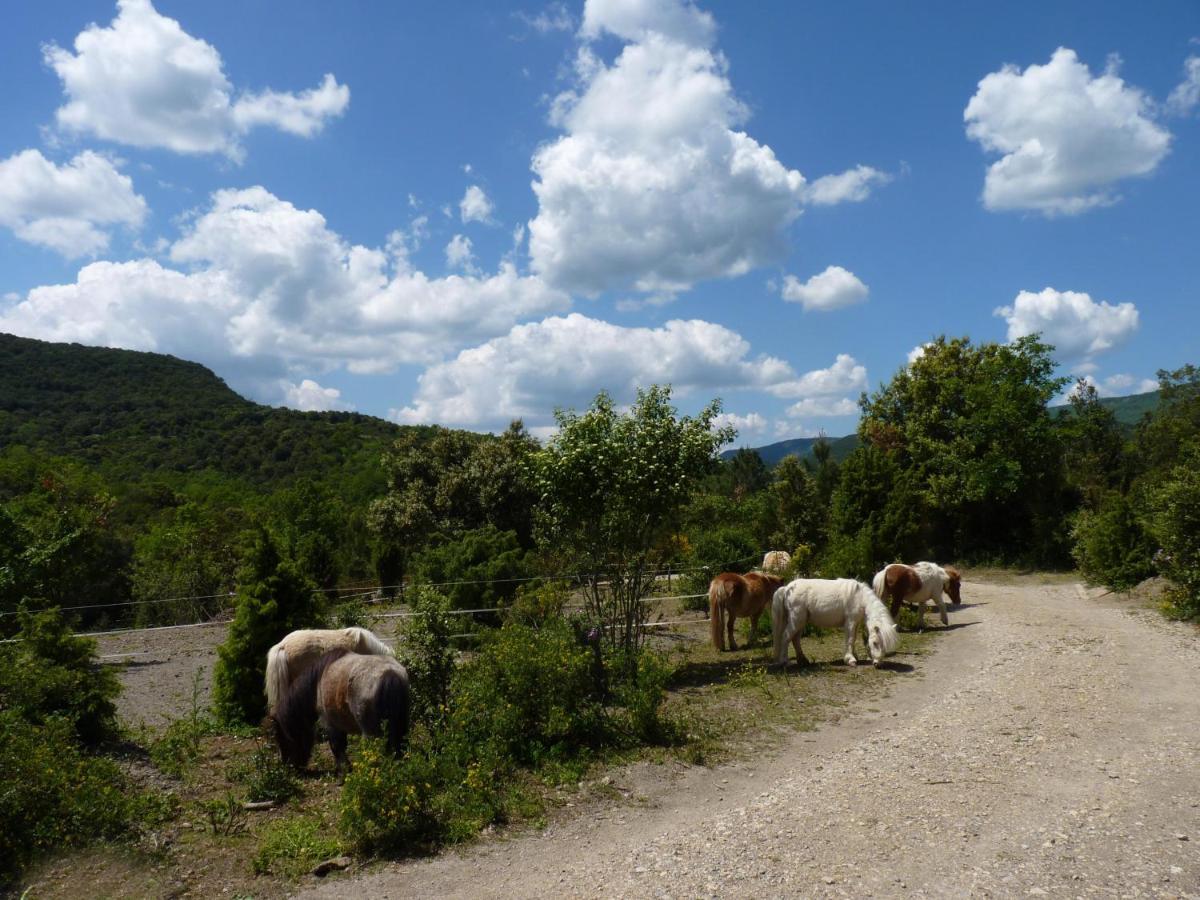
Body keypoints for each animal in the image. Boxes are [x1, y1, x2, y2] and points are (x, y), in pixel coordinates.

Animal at [268, 648, 412, 777]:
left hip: (370, 731)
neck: (317, 681)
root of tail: (389, 673)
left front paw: (343, 771)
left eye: (283, 740)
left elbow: (336, 746)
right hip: (401, 724)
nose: (288, 769)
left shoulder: (330, 723)